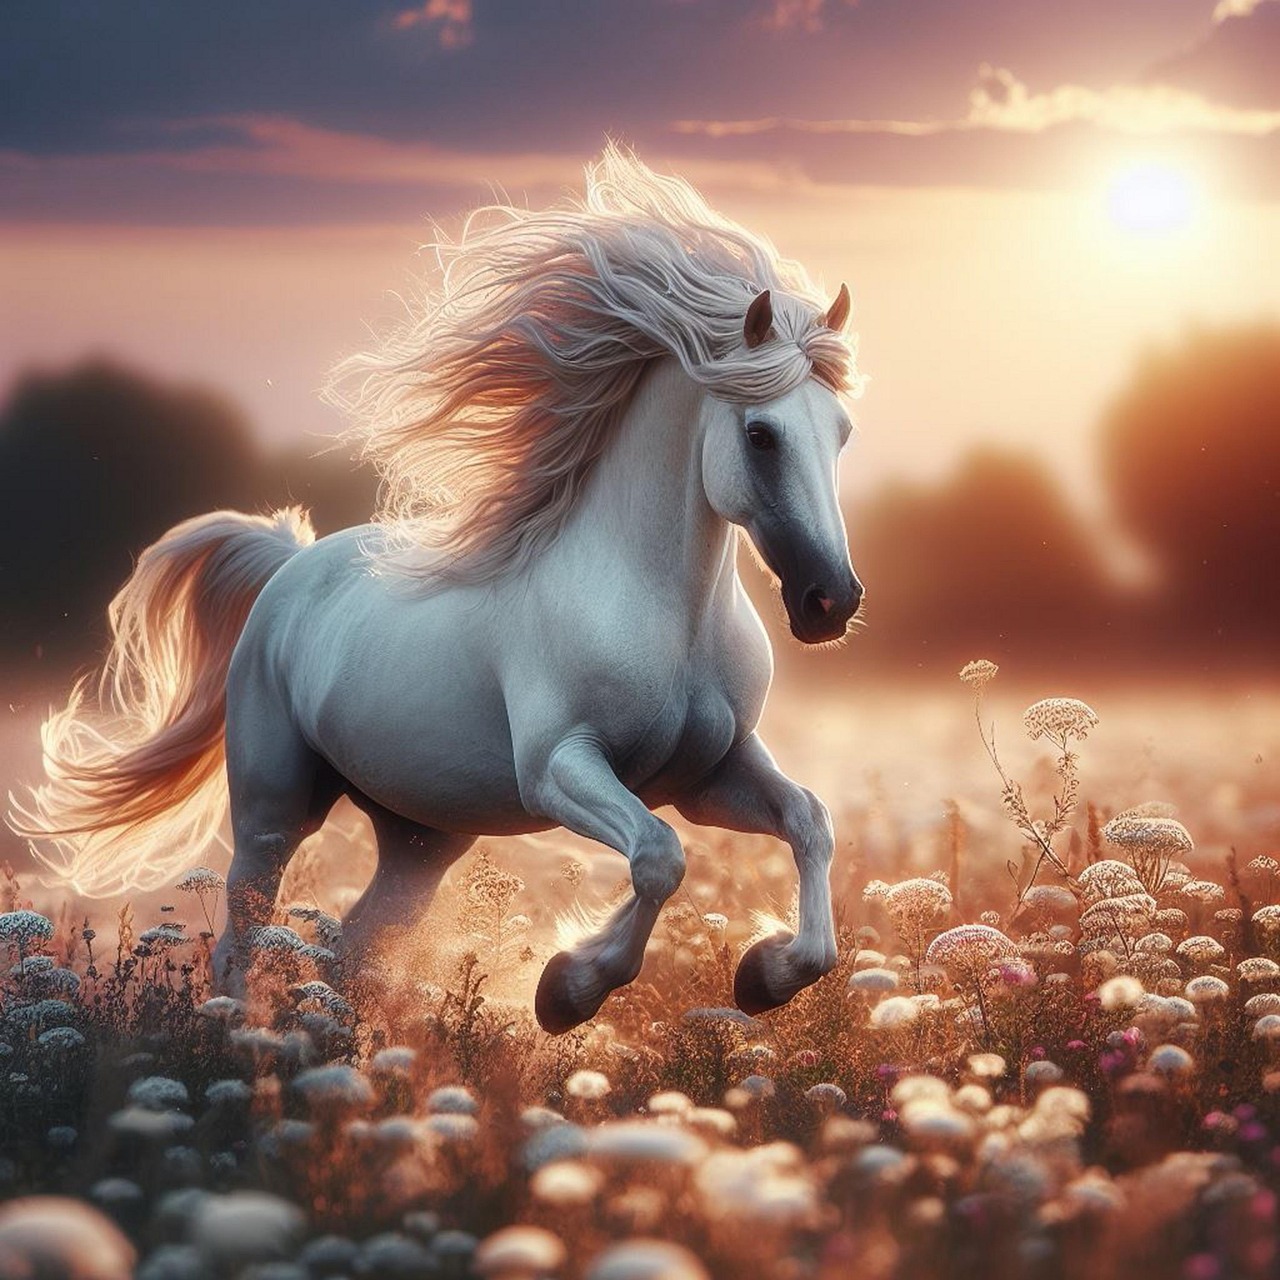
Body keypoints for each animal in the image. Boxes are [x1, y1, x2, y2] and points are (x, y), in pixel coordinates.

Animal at [10, 147, 865, 1033]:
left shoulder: (710, 774)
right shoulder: (561, 767)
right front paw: (569, 988)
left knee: (353, 947)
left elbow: (810, 822)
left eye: (840, 432)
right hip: (274, 810)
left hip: (421, 836)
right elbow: (660, 858)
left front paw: (766, 975)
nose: (831, 602)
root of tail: (289, 566)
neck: (668, 616)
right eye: (761, 434)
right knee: (241, 941)